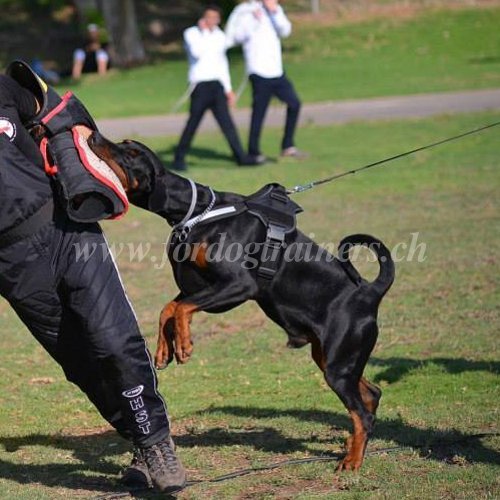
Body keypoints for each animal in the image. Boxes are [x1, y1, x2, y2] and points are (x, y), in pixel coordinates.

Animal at [89, 131, 394, 470]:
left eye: (131, 153)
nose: (95, 135)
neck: (197, 213)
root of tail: (369, 292)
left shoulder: (239, 285)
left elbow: (181, 308)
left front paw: (184, 345)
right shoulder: (200, 286)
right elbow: (169, 308)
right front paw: (164, 349)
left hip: (338, 365)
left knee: (362, 412)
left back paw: (352, 461)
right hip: (331, 358)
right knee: (373, 394)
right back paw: (351, 446)